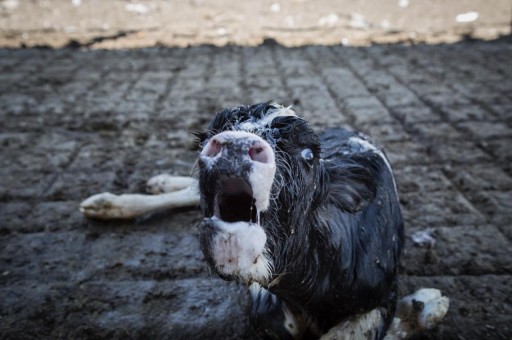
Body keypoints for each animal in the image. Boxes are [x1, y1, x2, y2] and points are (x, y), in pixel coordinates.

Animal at [80, 102, 448, 338]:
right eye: (208, 135)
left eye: (309, 154)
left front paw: (424, 307)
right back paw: (118, 199)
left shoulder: (383, 294)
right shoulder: (264, 309)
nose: (236, 144)